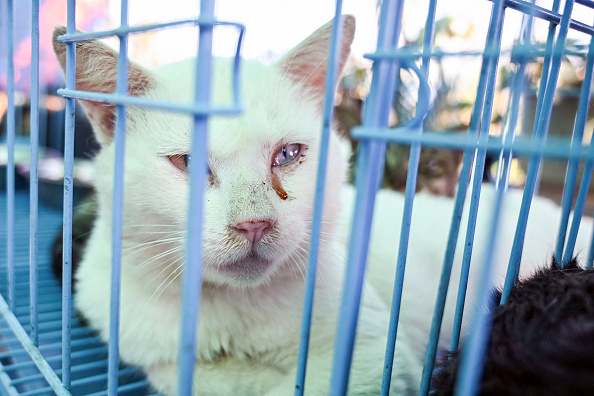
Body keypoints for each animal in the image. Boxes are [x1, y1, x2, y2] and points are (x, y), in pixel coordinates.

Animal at [53, 15, 588, 396]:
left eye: (288, 155)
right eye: (187, 161)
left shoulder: (375, 360)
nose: (254, 223)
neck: (231, 310)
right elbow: (193, 376)